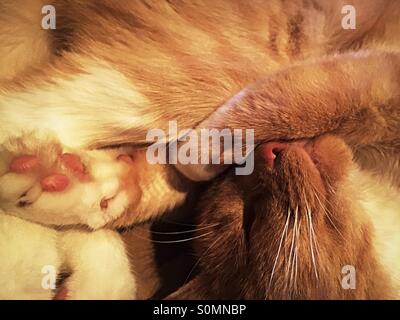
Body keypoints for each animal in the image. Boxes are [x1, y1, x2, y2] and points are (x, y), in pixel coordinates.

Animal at [0, 0, 398, 298]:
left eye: (249, 223)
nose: (264, 156)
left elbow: (156, 183)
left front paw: (74, 187)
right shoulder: (377, 73)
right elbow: (307, 98)